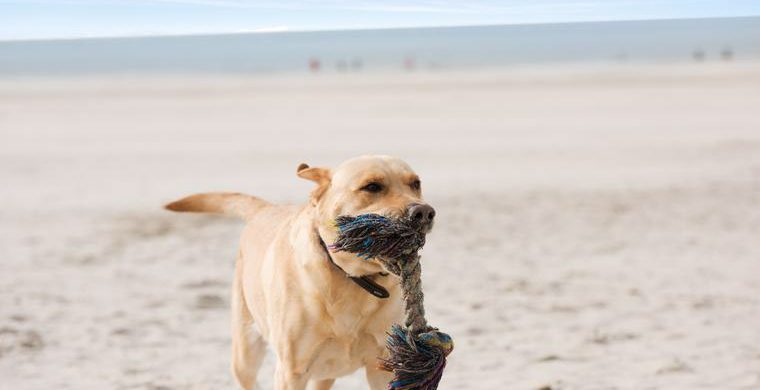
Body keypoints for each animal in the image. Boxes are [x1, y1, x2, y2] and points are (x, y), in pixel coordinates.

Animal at [168, 156, 436, 390]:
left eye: (416, 184)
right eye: (372, 186)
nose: (424, 212)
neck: (352, 279)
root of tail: (265, 209)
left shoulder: (384, 367)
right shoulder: (291, 371)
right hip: (245, 355)